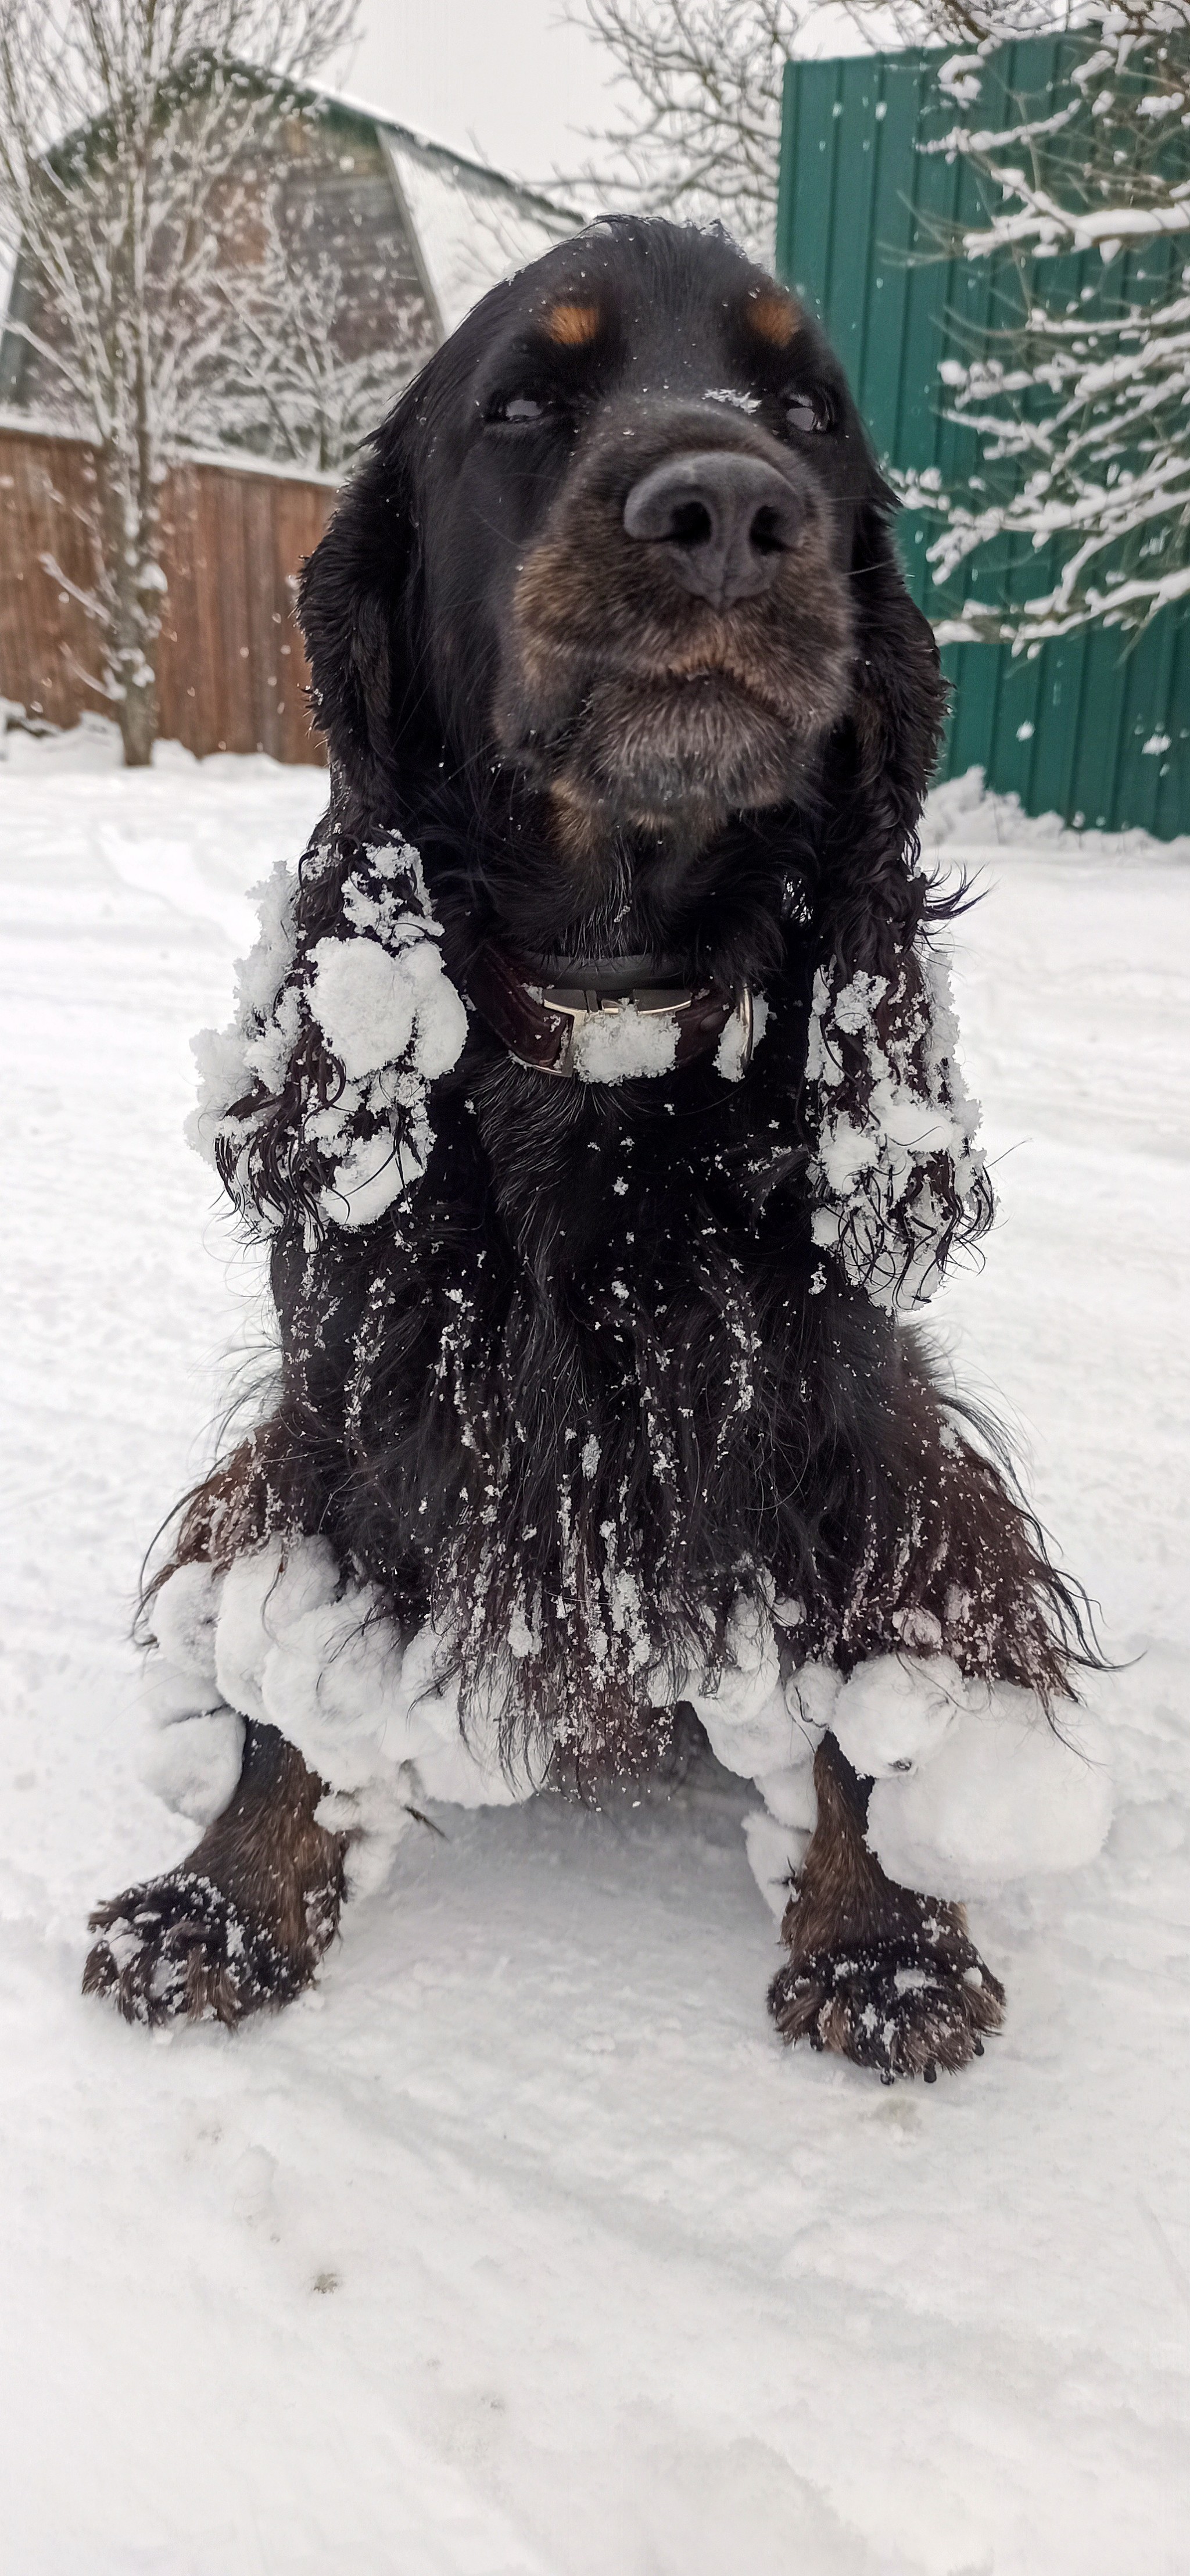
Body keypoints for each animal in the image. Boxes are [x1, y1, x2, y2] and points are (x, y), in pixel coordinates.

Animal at [84, 216, 1092, 2071]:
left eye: (806, 407)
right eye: (523, 401)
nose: (730, 509)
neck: (606, 1026)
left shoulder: (836, 1422)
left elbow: (852, 1702)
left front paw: (883, 1944)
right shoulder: (349, 1393)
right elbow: (290, 1684)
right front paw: (224, 1902)